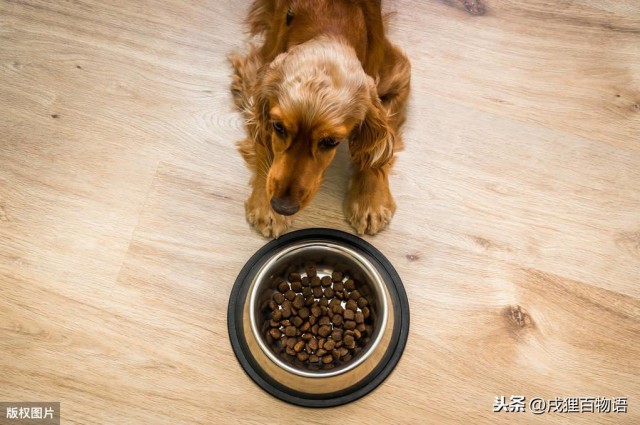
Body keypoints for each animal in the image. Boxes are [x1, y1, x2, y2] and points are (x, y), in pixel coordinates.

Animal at [230, 0, 410, 237]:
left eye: (330, 142)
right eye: (278, 127)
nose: (282, 207)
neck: (329, 29)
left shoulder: (398, 74)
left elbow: (380, 145)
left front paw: (369, 200)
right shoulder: (254, 74)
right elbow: (263, 141)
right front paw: (265, 206)